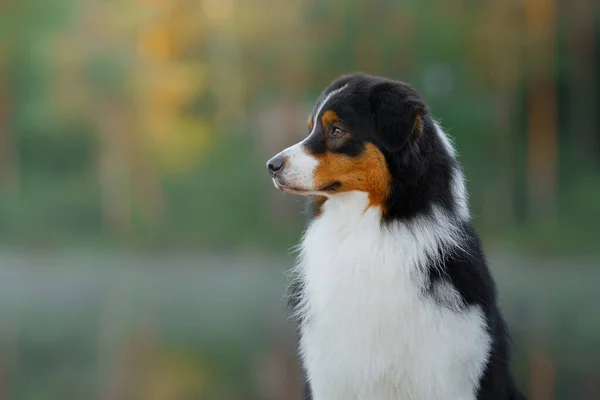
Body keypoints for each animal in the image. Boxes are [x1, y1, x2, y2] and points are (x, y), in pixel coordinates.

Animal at [266, 72, 524, 400]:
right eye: (310, 127)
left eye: (337, 130)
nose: (271, 166)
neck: (368, 234)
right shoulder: (330, 375)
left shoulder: (448, 372)